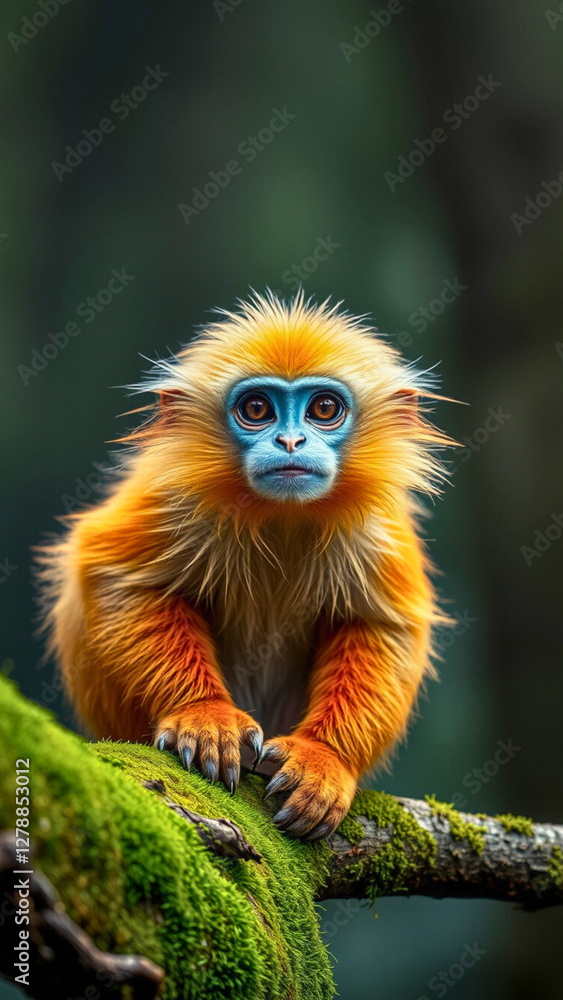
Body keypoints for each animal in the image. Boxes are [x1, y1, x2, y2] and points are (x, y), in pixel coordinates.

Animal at [38, 291, 451, 840]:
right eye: (257, 409)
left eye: (324, 408)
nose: (291, 443)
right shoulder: (172, 497)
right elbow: (119, 579)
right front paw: (204, 714)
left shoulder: (377, 530)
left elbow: (384, 624)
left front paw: (324, 757)